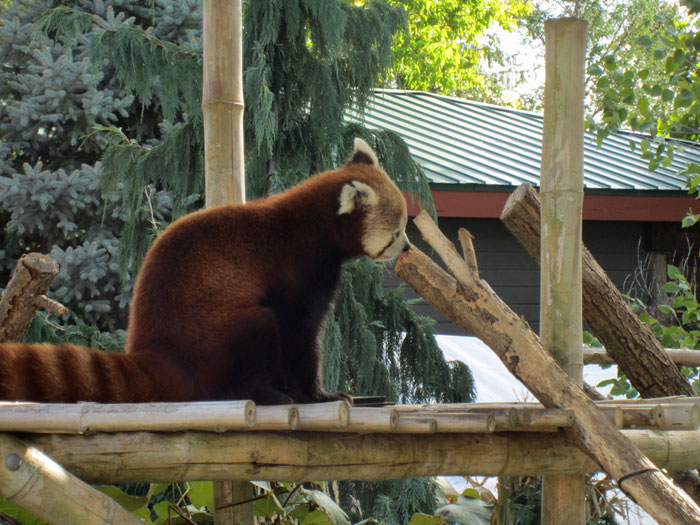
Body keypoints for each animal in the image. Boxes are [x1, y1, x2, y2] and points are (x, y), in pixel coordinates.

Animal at [0, 139, 410, 406]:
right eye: (397, 232)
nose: (407, 248)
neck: (315, 227)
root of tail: (159, 355)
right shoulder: (298, 273)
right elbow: (300, 335)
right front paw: (317, 395)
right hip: (218, 333)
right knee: (259, 329)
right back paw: (266, 394)